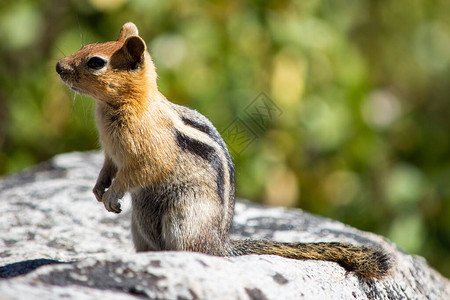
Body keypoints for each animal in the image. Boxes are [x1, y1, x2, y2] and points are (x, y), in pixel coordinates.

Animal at [57, 22, 390, 278]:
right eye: (87, 46)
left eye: (96, 62)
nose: (59, 67)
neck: (124, 105)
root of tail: (221, 245)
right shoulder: (112, 154)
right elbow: (108, 168)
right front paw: (98, 189)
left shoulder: (148, 152)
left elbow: (139, 172)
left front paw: (112, 196)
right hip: (140, 228)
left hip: (183, 217)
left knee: (192, 250)